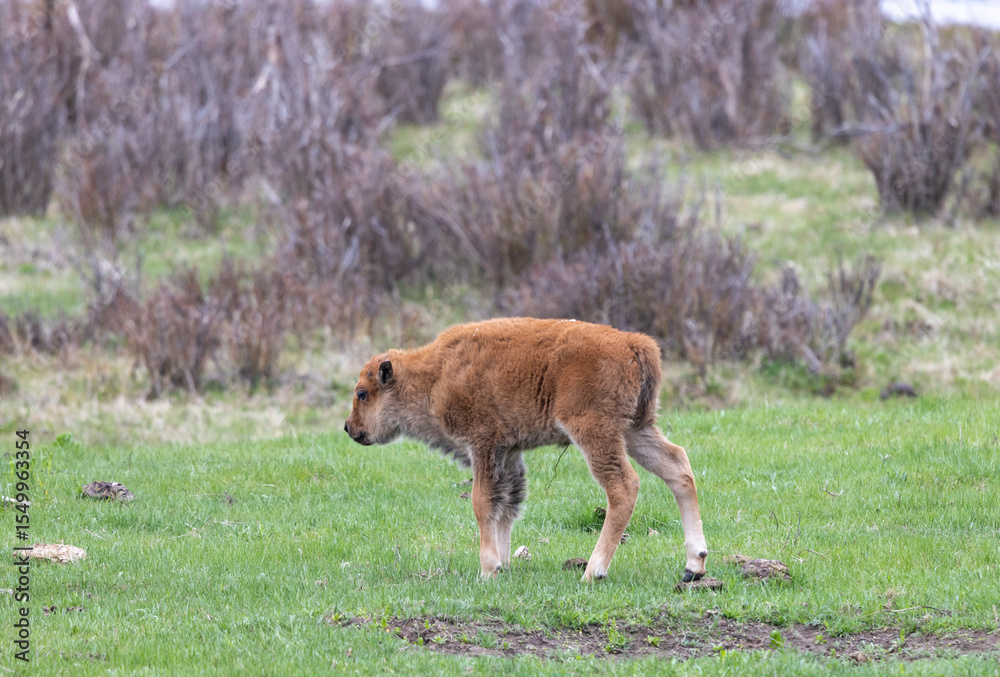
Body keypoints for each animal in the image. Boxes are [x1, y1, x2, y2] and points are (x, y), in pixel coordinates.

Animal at [344, 317, 708, 582]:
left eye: (362, 393)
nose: (349, 428)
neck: (436, 374)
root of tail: (635, 343)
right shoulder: (508, 452)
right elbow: (506, 504)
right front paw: (504, 563)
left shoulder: (484, 444)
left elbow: (482, 502)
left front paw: (488, 568)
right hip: (635, 430)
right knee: (677, 466)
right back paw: (694, 565)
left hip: (595, 432)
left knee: (623, 486)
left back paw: (593, 571)